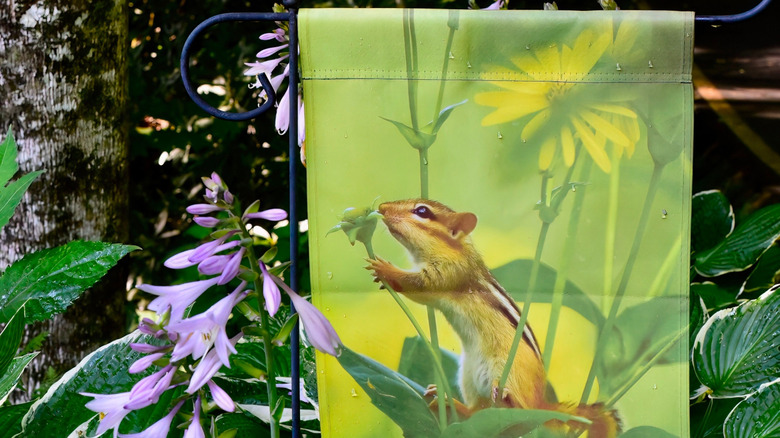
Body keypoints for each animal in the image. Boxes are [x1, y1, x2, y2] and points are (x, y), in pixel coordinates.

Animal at [367, 199, 620, 438]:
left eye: (422, 211)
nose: (382, 207)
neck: (454, 249)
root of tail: (541, 406)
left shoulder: (451, 274)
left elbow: (418, 285)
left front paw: (385, 269)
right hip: (468, 375)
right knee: (478, 414)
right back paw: (449, 401)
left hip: (509, 373)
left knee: (514, 410)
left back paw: (503, 394)